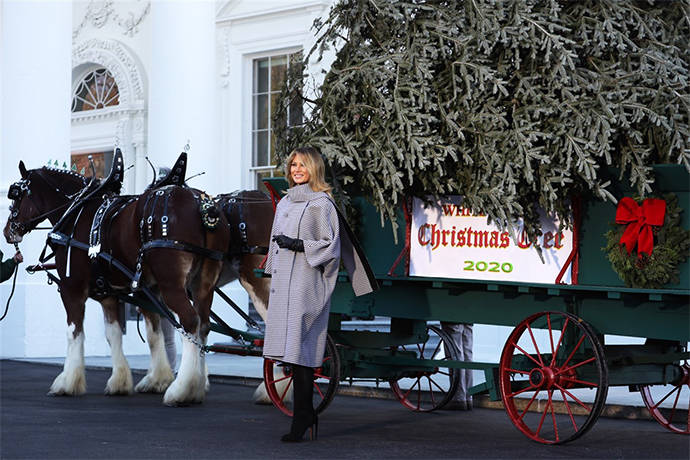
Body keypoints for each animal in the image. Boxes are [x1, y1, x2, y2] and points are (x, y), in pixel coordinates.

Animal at [3, 155, 228, 406]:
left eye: (16, 194)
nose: (8, 230)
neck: (77, 211)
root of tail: (203, 205)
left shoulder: (72, 288)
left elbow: (74, 332)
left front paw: (67, 382)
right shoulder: (113, 293)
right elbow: (124, 334)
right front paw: (130, 380)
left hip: (172, 284)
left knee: (190, 322)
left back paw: (182, 389)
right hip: (203, 284)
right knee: (204, 325)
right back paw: (197, 385)